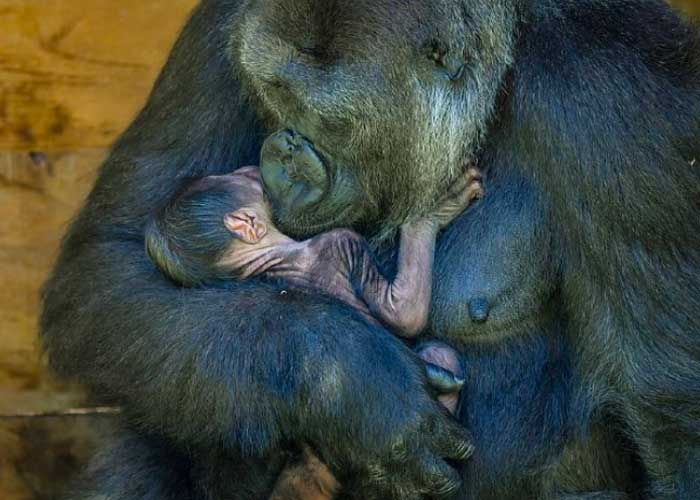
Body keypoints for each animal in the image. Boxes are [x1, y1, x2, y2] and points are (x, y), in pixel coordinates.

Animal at [142, 163, 482, 496]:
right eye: (238, 178)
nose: (250, 170)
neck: (268, 258)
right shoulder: (341, 241)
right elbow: (405, 315)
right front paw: (432, 214)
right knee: (440, 354)